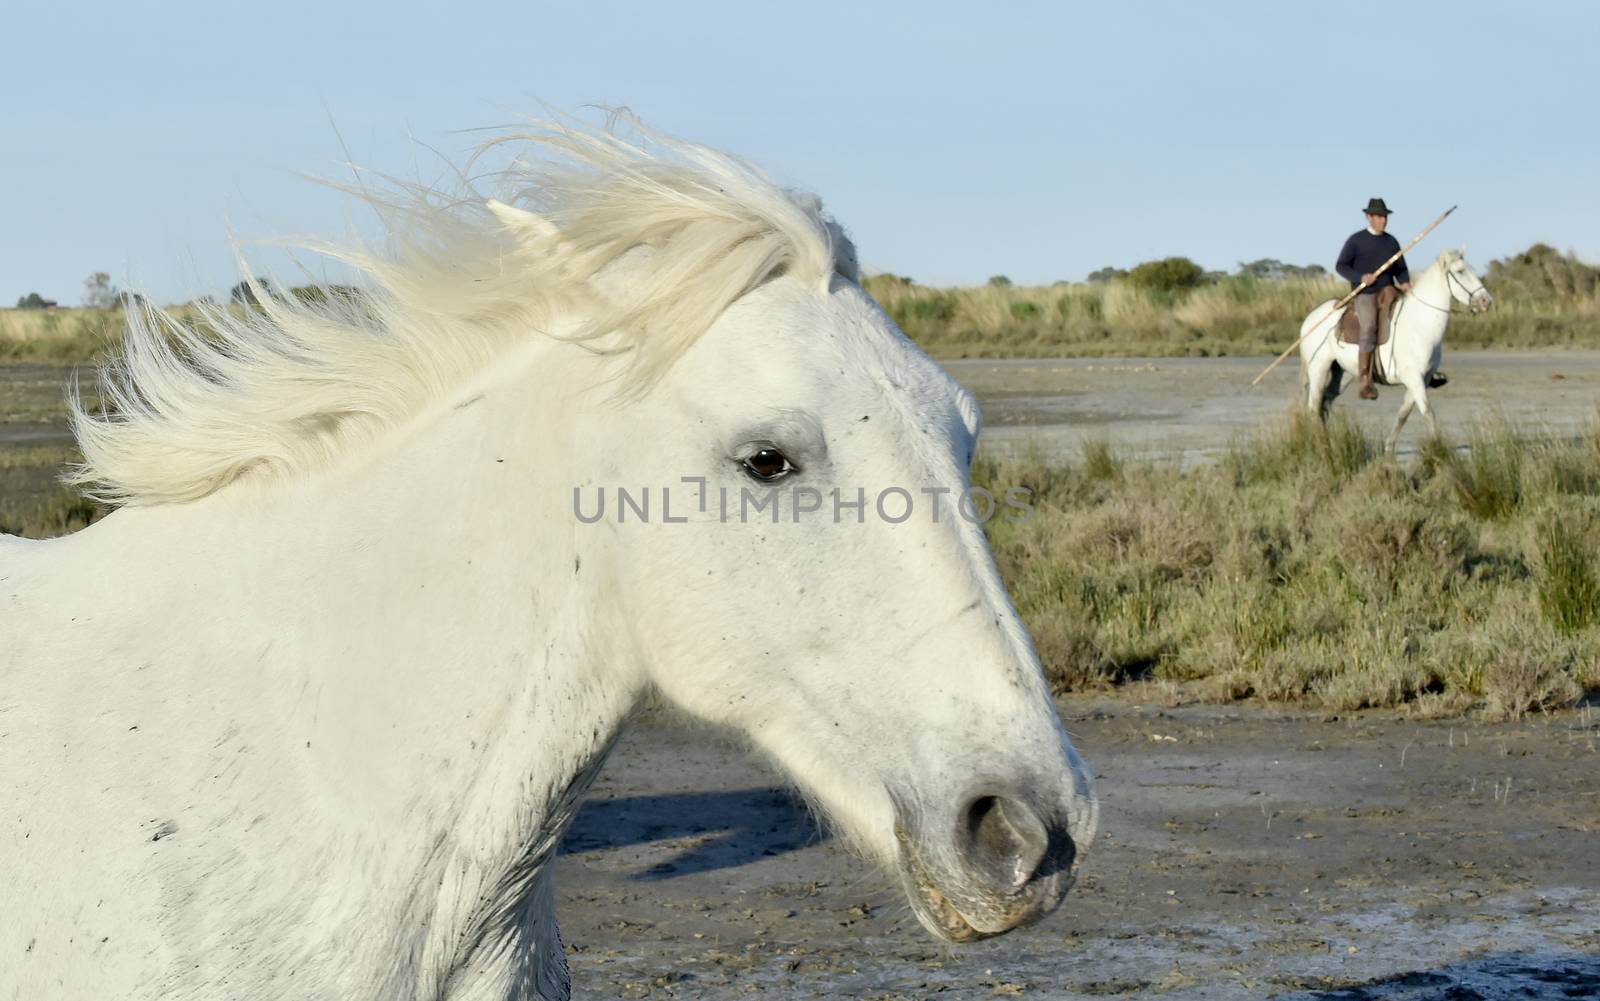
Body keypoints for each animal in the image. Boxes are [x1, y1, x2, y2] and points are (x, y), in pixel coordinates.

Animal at [1299, 247, 1484, 450]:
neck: (1420, 324)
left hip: (1343, 373)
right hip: (1319, 368)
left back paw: (1327, 442)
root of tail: (1310, 319)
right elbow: (1428, 412)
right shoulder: (1414, 379)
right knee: (1313, 407)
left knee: (1325, 403)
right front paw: (1439, 448)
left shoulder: (1423, 379)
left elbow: (1403, 414)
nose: (1486, 300)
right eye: (1460, 271)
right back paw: (1319, 445)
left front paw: (1389, 447)